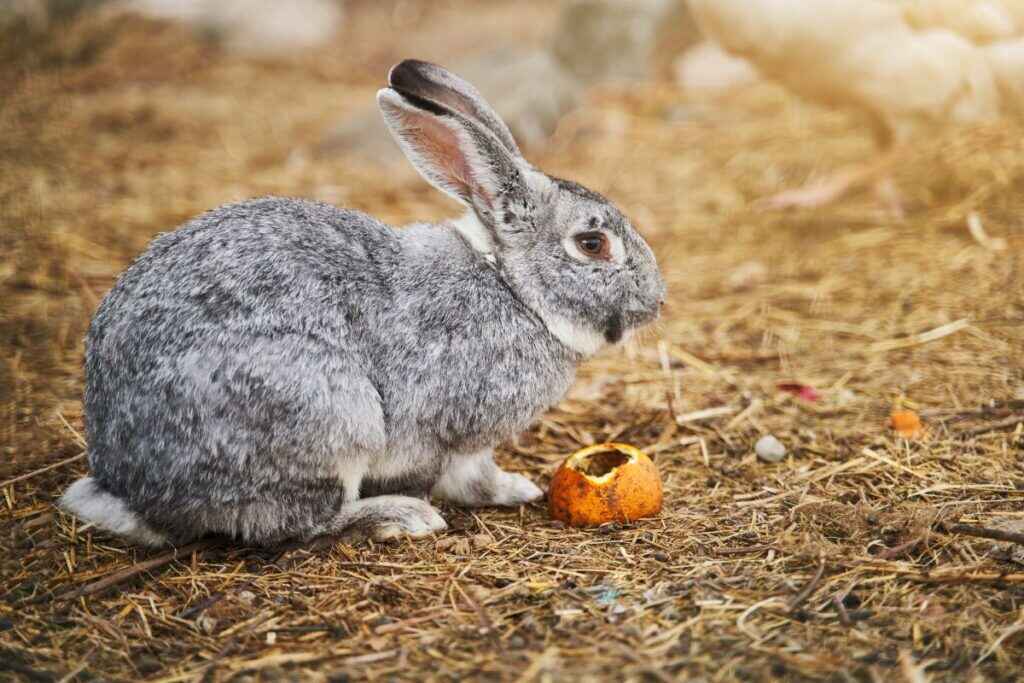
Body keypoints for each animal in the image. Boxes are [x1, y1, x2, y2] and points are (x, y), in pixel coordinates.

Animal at [58, 60, 663, 548]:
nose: (655, 300)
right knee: (291, 523)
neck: (511, 286)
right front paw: (515, 488)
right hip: (325, 411)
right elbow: (470, 476)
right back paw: (399, 516)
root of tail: (135, 491)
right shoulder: (464, 433)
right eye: (592, 244)